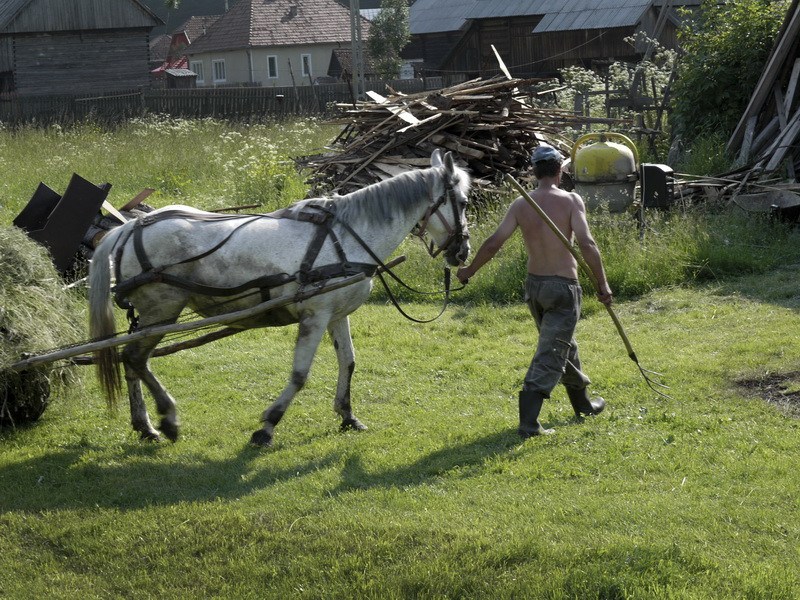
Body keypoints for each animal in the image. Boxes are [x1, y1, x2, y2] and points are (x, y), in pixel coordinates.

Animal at [89, 150, 468, 446]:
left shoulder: (337, 314)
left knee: (130, 361)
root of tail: (128, 227)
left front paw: (347, 415)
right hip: (162, 310)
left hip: (150, 316)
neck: (346, 236)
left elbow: (348, 361)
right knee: (136, 359)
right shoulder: (315, 316)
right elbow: (300, 375)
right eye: (463, 202)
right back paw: (167, 418)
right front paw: (268, 425)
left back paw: (145, 426)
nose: (462, 252)